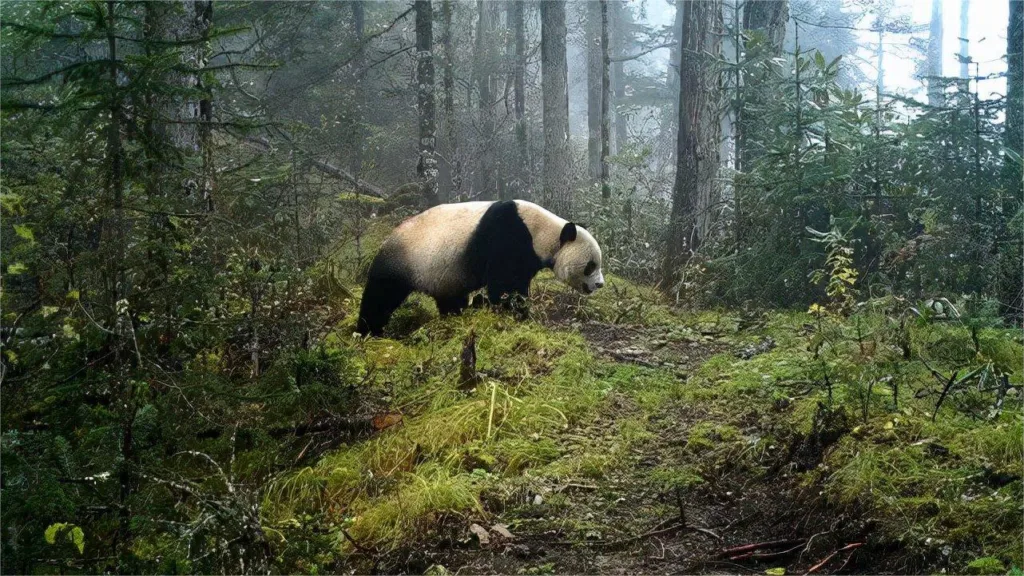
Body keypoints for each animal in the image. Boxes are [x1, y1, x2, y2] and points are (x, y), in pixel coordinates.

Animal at [356, 199, 604, 336]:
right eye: (591, 266)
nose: (600, 284)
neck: (544, 232)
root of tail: (386, 239)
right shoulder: (508, 235)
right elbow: (505, 284)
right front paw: (518, 313)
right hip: (403, 261)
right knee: (381, 296)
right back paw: (367, 331)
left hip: (445, 273)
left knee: (450, 298)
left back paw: (457, 314)